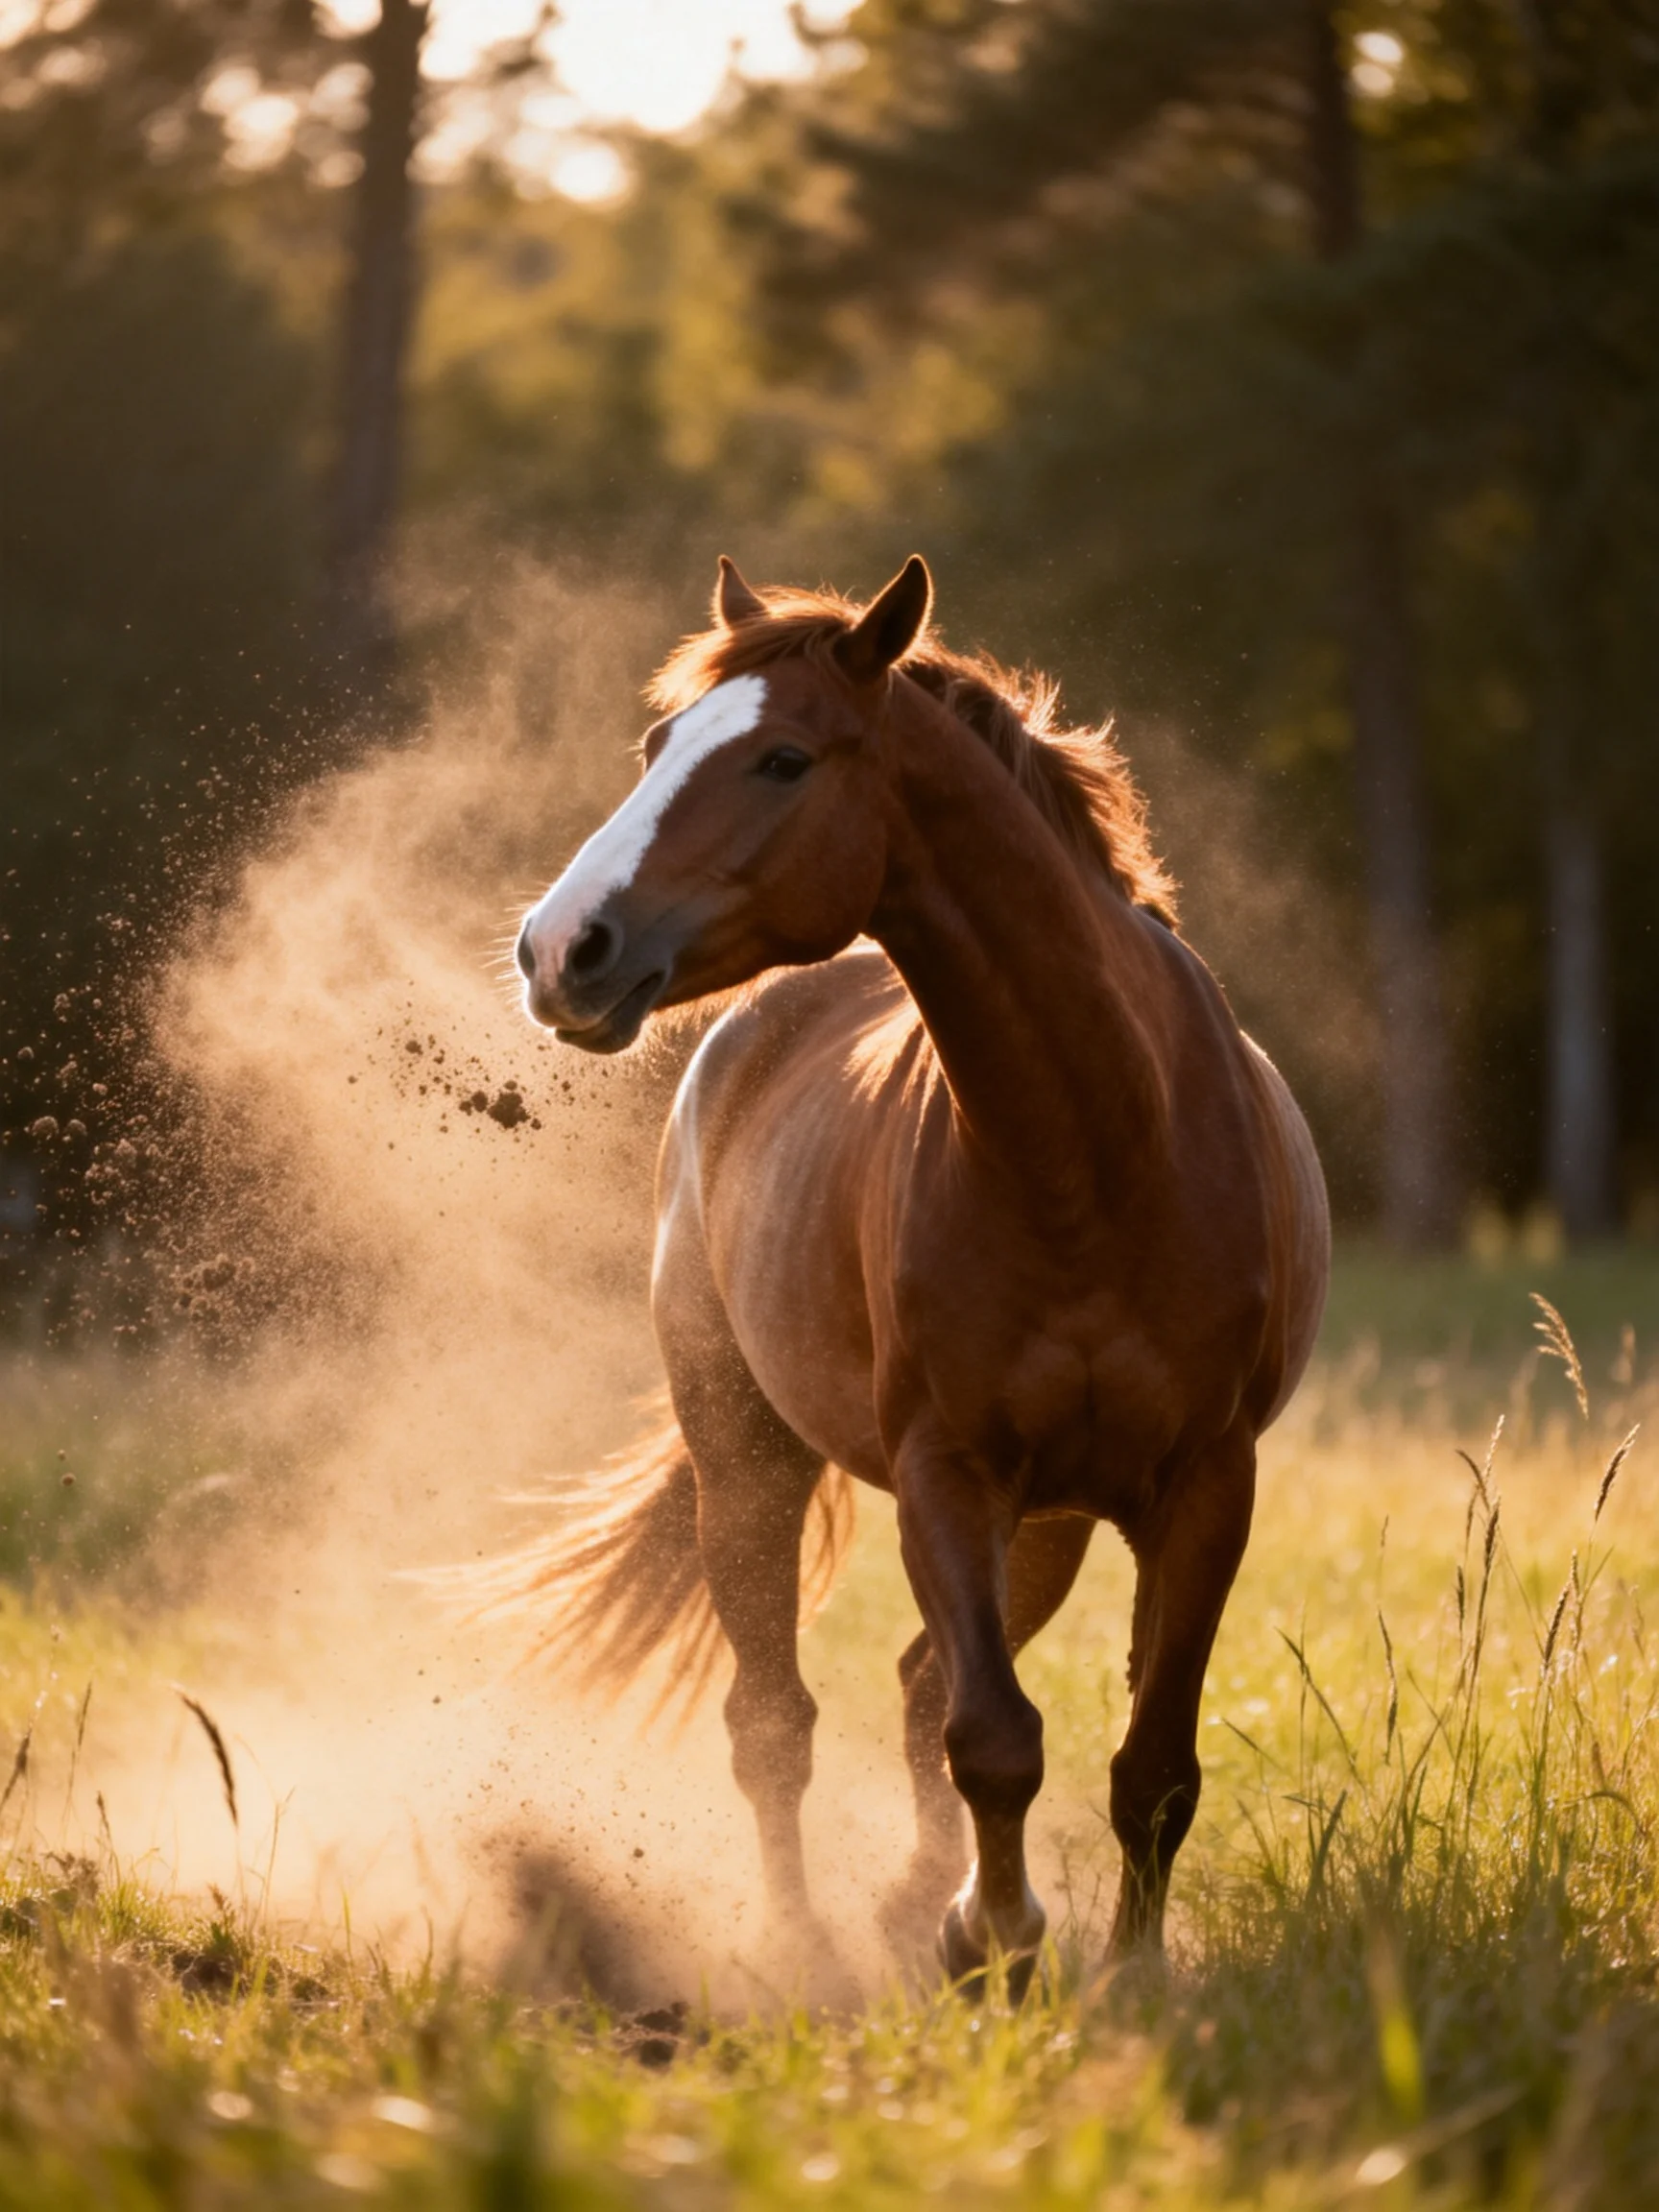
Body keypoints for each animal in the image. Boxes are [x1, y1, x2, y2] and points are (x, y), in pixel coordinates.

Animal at [500, 555, 1330, 1994]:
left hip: (1051, 1523)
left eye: (783, 758)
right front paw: (992, 1937)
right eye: (659, 747)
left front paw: (1128, 1973)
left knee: (908, 1684)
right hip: (749, 1462)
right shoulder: (947, 1470)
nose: (562, 950)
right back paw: (803, 1939)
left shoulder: (1205, 1487)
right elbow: (991, 1738)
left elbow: (1150, 1766)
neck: (1097, 1145)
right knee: (777, 1719)